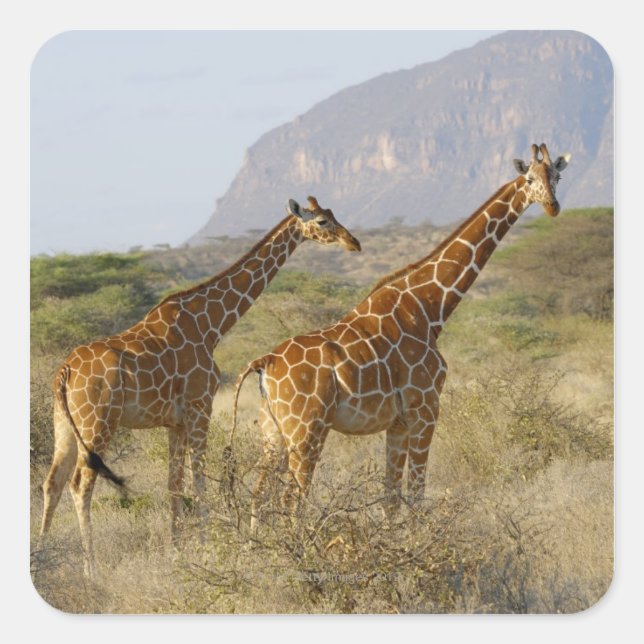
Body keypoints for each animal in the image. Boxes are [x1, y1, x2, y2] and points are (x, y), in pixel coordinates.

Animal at [39, 196, 361, 576]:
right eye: (324, 221)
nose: (353, 242)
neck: (212, 326)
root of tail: (64, 371)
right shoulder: (200, 407)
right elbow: (200, 481)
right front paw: (207, 549)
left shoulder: (175, 421)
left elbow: (174, 484)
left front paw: (178, 549)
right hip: (97, 421)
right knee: (80, 483)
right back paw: (91, 569)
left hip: (64, 423)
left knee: (52, 481)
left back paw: (41, 559)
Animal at [231, 144, 571, 534]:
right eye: (529, 179)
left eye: (556, 177)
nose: (552, 206)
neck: (430, 307)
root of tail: (264, 362)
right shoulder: (426, 408)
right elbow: (417, 493)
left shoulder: (397, 422)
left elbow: (391, 499)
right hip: (306, 430)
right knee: (292, 499)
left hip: (272, 432)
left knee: (260, 495)